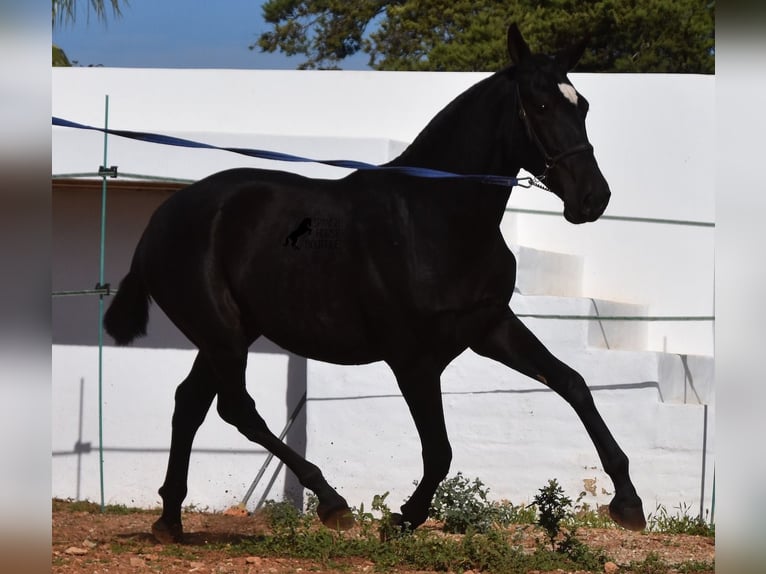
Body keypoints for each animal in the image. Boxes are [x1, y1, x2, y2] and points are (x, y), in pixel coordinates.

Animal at [103, 23, 648, 544]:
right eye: (539, 104)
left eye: (583, 105)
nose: (593, 198)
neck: (435, 217)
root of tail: (162, 219)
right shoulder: (413, 359)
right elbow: (440, 451)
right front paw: (403, 519)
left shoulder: (490, 329)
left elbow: (573, 384)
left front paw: (628, 503)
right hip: (221, 333)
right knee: (236, 408)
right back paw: (331, 503)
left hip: (229, 334)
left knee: (190, 404)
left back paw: (170, 521)